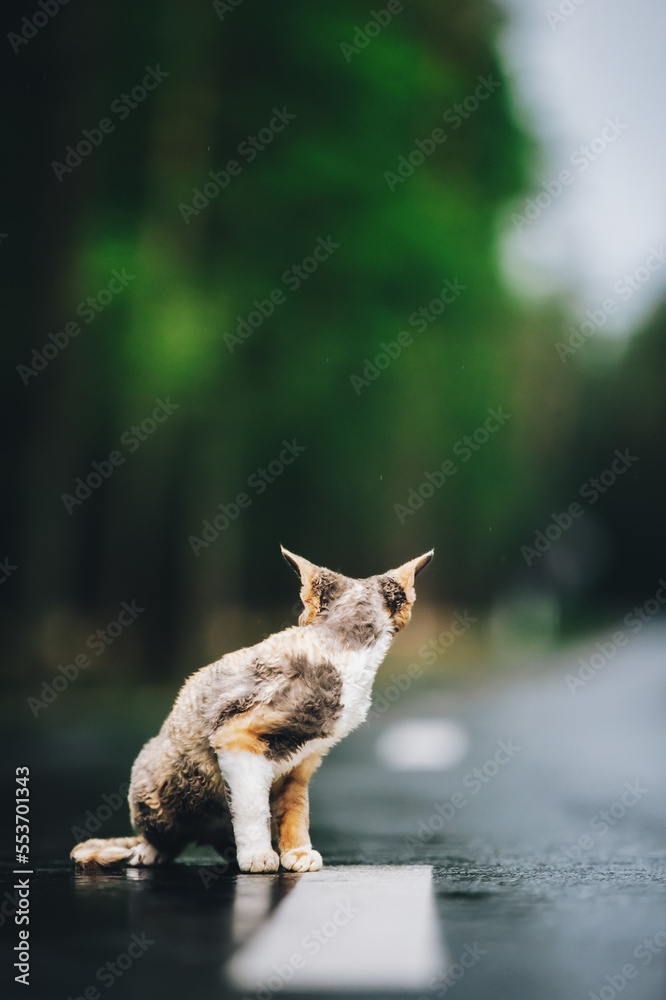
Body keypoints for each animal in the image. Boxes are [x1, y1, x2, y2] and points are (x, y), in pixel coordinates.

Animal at [71, 544, 430, 872]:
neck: (342, 651)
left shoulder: (301, 763)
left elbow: (296, 810)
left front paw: (297, 852)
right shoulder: (236, 736)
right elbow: (252, 806)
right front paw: (259, 855)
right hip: (156, 776)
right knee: (159, 837)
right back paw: (148, 852)